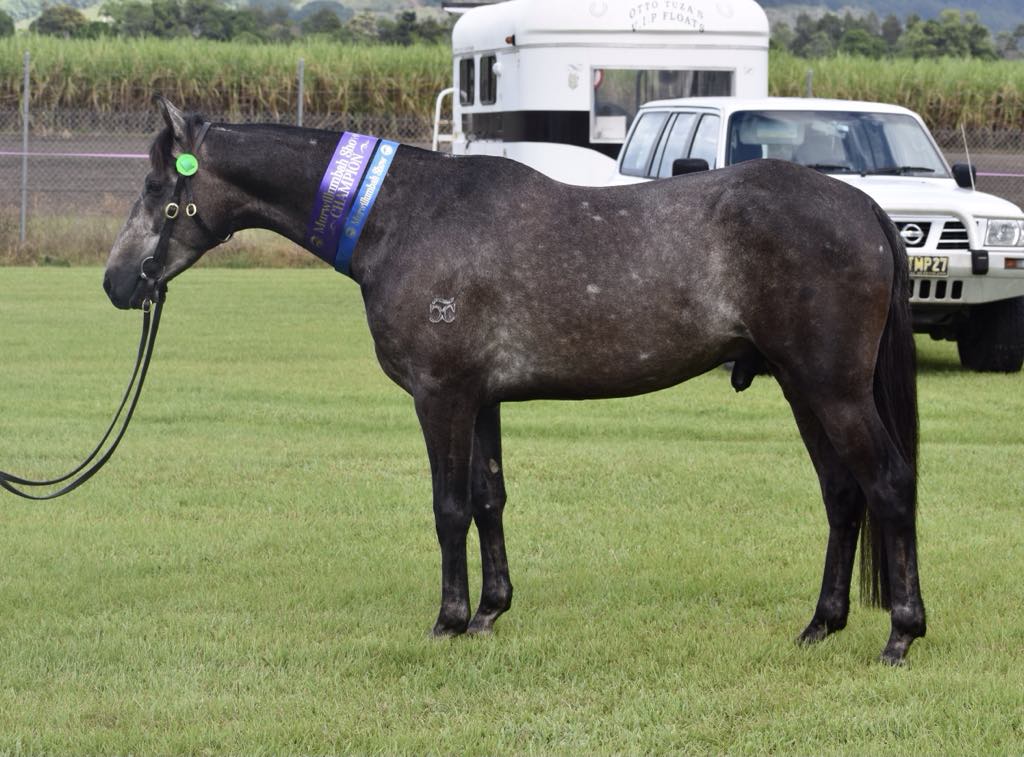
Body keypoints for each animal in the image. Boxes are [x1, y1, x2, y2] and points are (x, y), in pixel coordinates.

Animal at [104, 97, 925, 664]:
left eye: (156, 186)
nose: (116, 283)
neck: (404, 215)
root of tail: (863, 205)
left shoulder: (441, 395)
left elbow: (448, 507)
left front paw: (448, 619)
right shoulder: (482, 399)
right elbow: (488, 499)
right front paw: (491, 611)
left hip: (833, 389)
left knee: (886, 484)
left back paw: (901, 633)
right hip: (802, 387)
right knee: (842, 494)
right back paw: (821, 623)